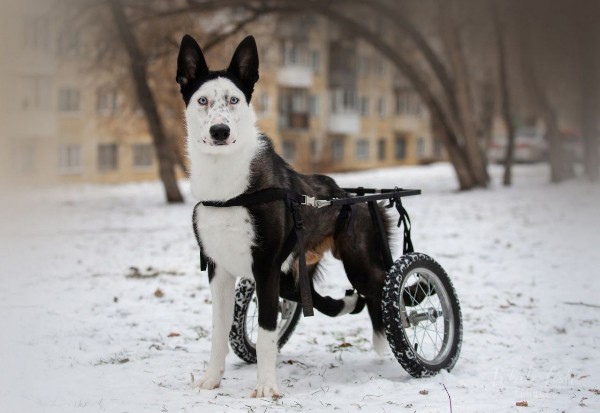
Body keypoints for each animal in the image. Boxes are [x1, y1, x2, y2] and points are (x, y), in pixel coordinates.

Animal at [177, 34, 394, 396]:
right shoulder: (220, 269)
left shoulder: (265, 266)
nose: (220, 131)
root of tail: (358, 198)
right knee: (320, 298)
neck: (228, 189)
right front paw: (211, 378)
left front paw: (266, 387)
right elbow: (219, 331)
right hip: (297, 269)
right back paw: (347, 306)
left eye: (234, 99)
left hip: (359, 261)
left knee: (392, 288)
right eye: (202, 100)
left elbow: (266, 333)